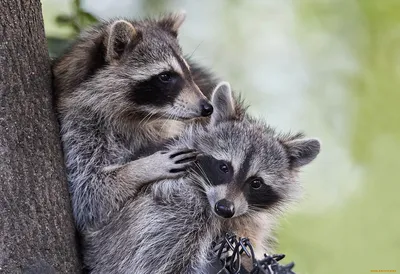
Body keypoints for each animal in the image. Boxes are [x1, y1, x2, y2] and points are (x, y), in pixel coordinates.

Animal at [52, 12, 219, 231]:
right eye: (165, 76)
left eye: (188, 72)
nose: (207, 108)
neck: (138, 115)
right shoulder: (78, 125)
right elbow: (87, 191)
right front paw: (143, 168)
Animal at [85, 83, 322, 274]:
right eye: (224, 167)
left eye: (256, 183)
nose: (224, 208)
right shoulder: (180, 205)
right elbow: (155, 263)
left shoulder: (246, 220)